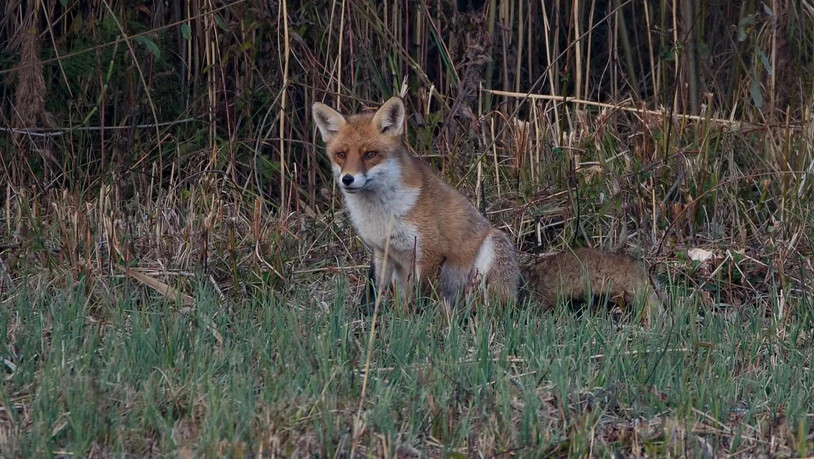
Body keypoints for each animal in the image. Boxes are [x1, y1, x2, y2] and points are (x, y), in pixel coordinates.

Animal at [312, 97, 661, 316]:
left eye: (370, 154)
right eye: (341, 154)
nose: (347, 179)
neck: (381, 212)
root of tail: (520, 286)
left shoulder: (427, 251)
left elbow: (419, 297)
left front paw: (413, 322)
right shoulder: (382, 252)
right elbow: (381, 294)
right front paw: (378, 319)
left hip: (493, 246)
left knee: (492, 307)